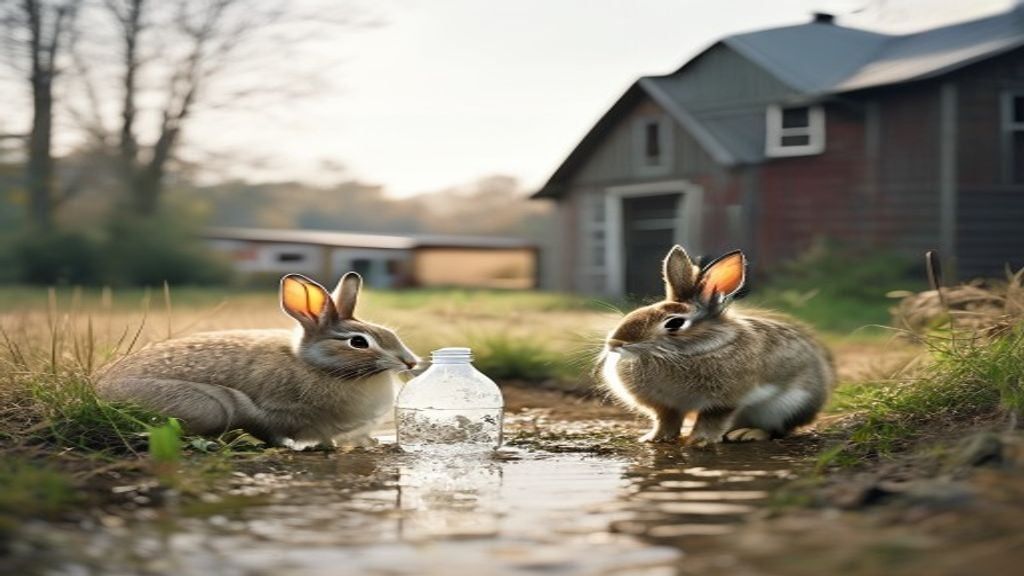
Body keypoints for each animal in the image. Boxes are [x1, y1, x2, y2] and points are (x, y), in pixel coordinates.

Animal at [96, 272, 419, 449]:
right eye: (358, 342)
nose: (410, 362)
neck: (318, 365)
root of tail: (99, 390)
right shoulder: (276, 413)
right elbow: (276, 432)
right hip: (211, 407)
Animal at [598, 245, 835, 447]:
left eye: (674, 323)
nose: (615, 343)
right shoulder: (667, 406)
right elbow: (666, 421)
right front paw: (654, 438)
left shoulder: (722, 403)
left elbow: (711, 420)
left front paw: (697, 441)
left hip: (786, 406)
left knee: (777, 430)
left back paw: (746, 434)